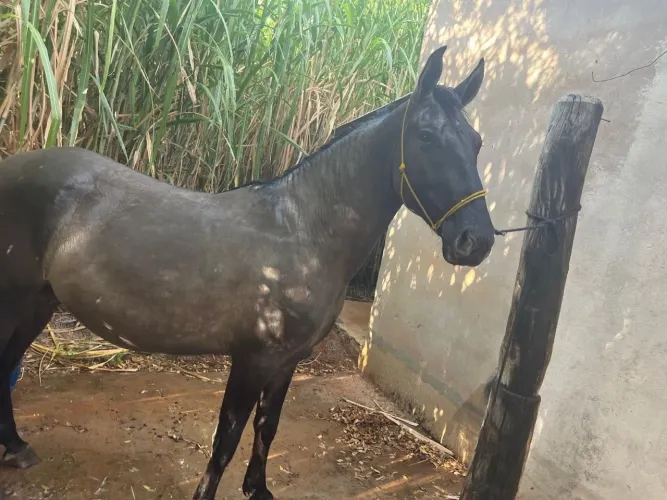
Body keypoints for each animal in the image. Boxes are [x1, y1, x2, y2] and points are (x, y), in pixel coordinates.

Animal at [0, 45, 494, 499]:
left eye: (476, 141)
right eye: (425, 136)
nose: (477, 241)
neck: (304, 233)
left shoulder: (287, 362)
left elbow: (266, 427)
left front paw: (258, 488)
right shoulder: (252, 359)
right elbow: (227, 438)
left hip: (40, 302)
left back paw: (17, 447)